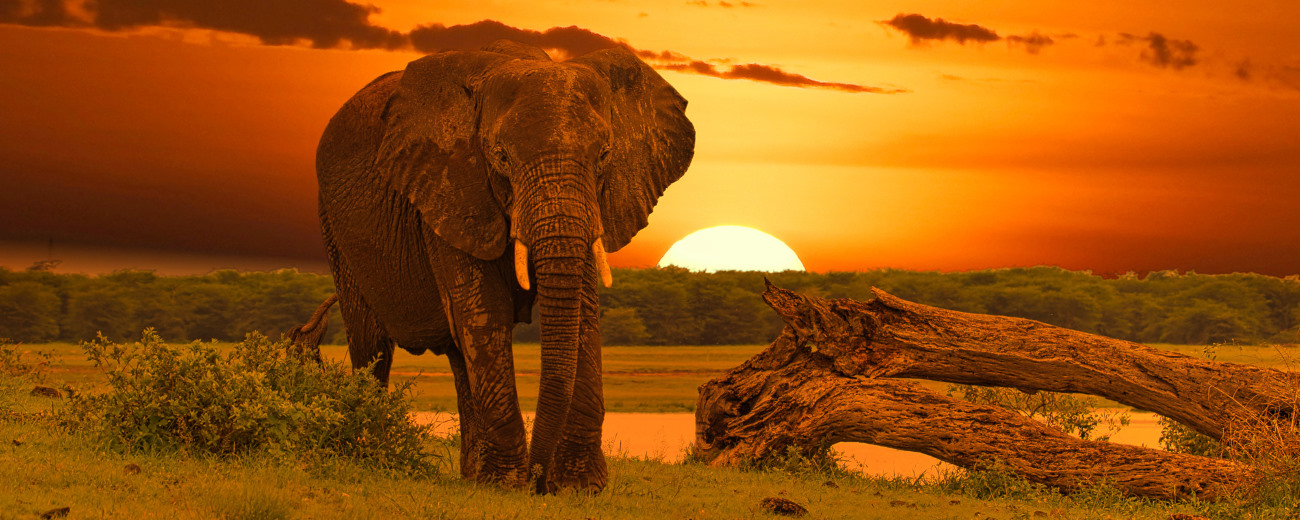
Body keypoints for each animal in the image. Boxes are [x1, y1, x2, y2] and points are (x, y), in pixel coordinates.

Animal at [304, 40, 696, 491]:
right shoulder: (451, 185)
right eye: (501, 157)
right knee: (372, 346)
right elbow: (483, 309)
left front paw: (578, 487)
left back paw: (470, 474)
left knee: (458, 356)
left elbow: (583, 310)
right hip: (334, 226)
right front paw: (507, 485)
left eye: (605, 155)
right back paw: (375, 458)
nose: (538, 483)